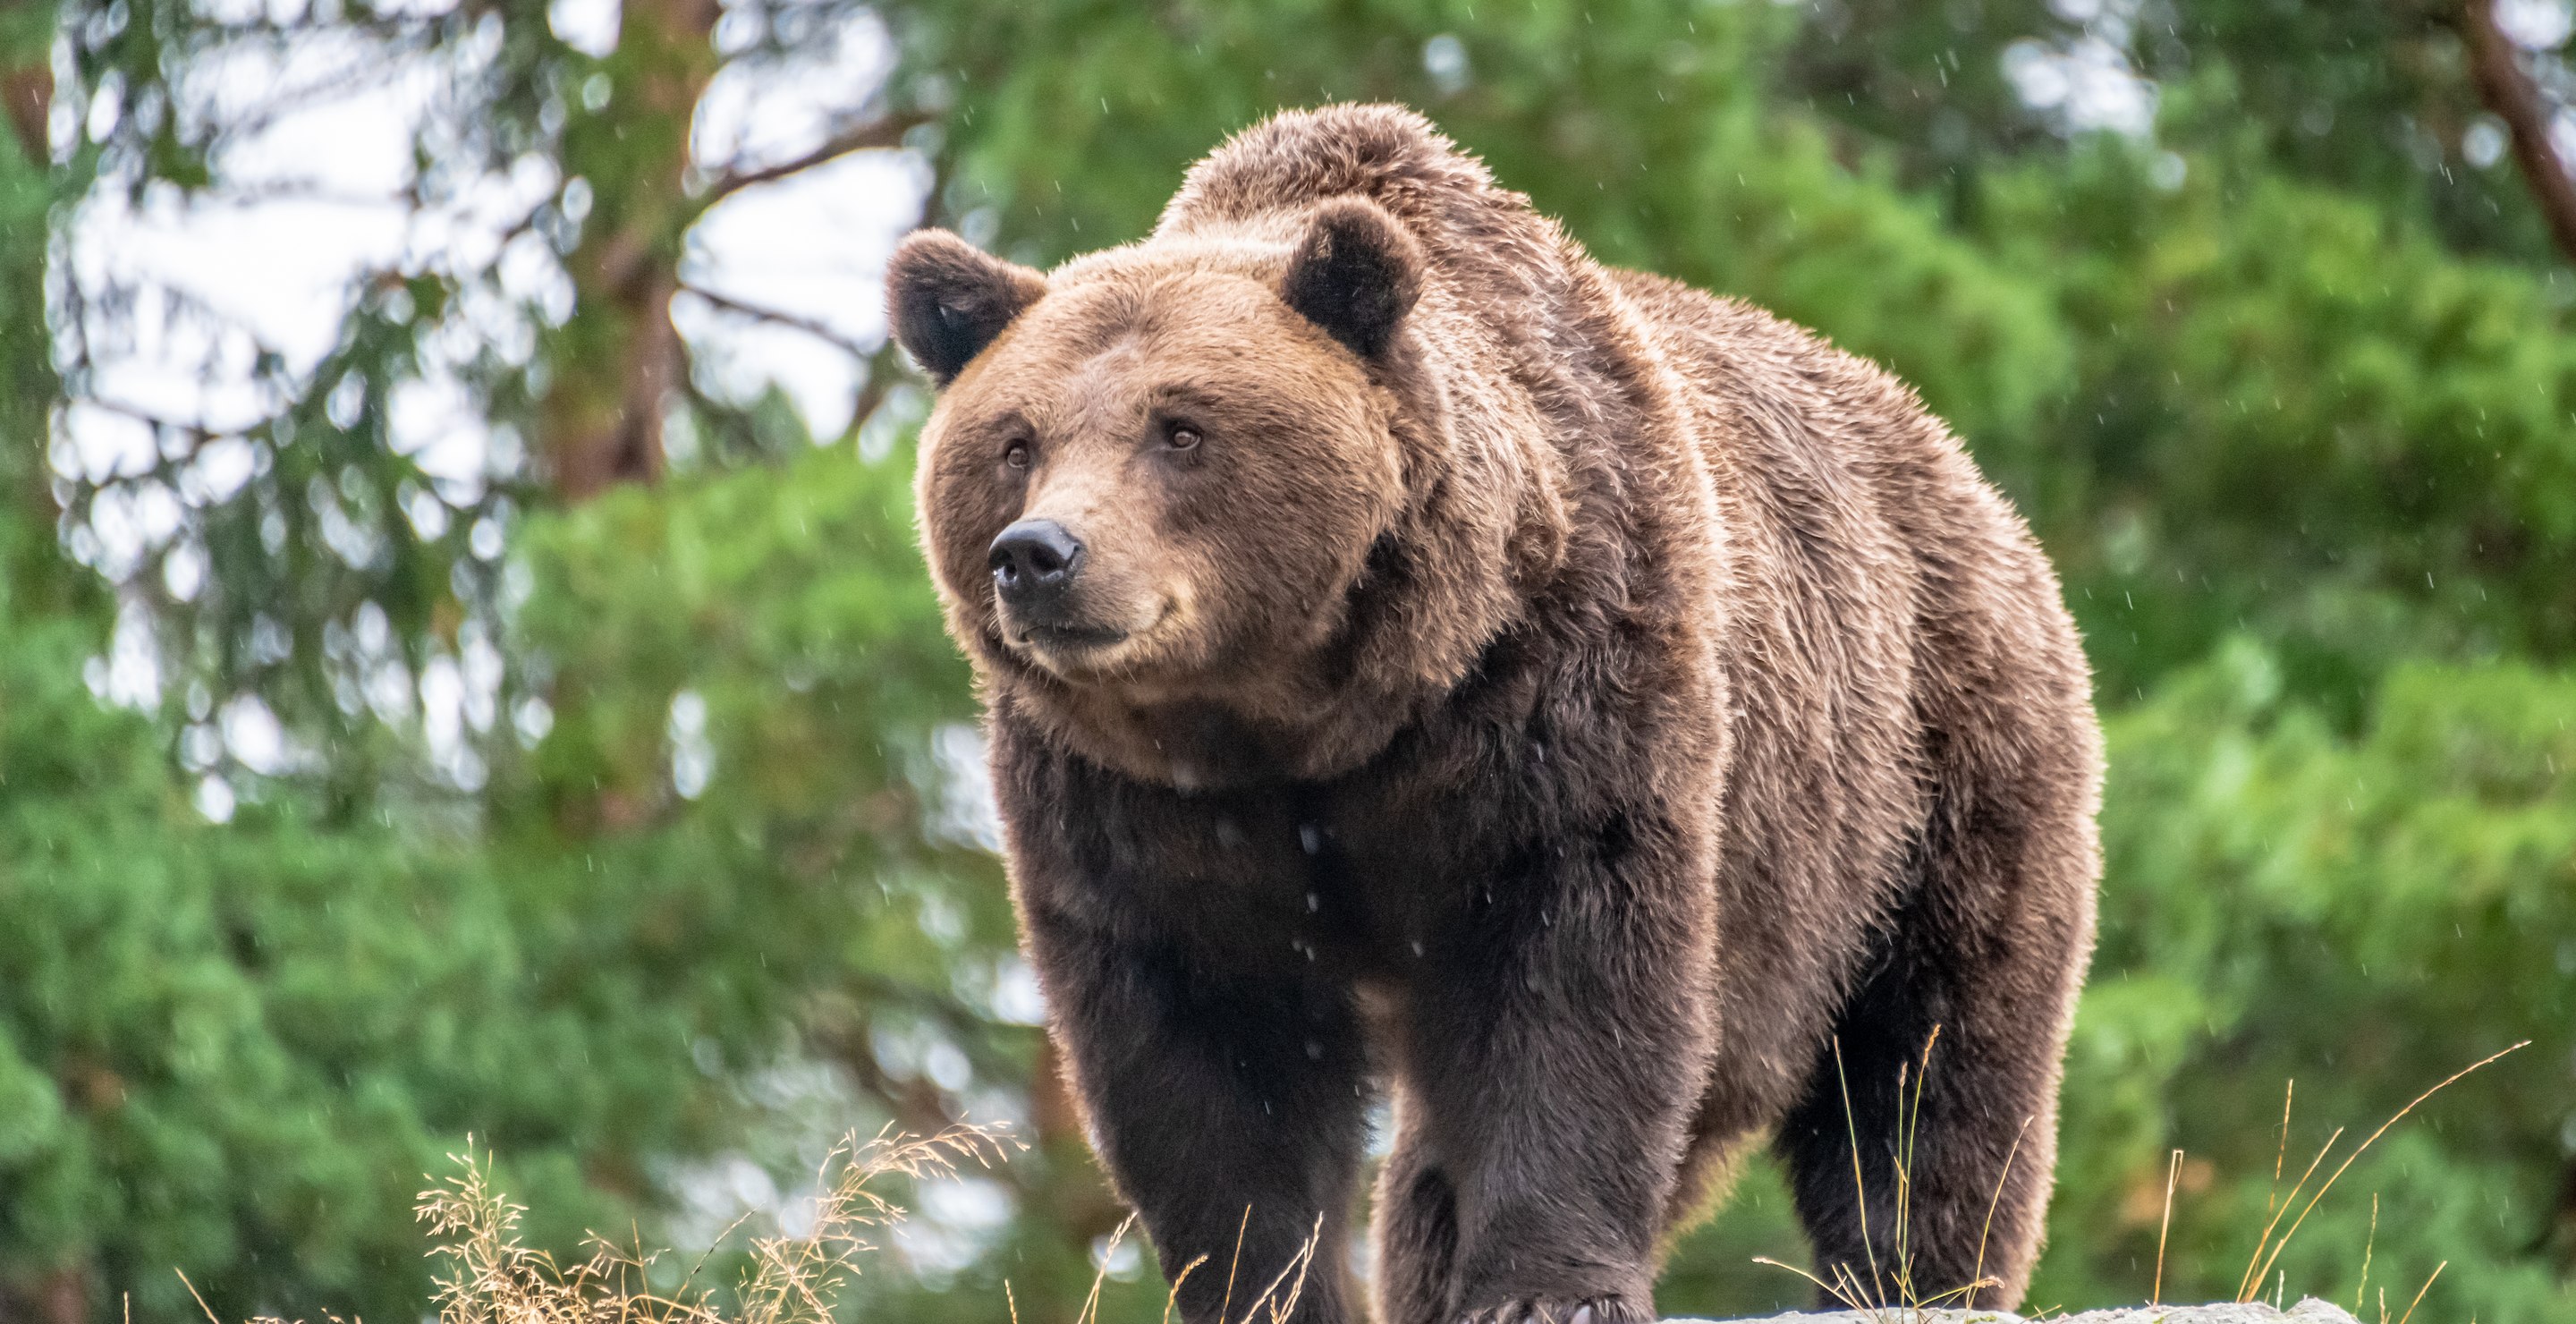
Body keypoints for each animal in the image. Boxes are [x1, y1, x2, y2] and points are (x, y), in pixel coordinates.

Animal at [885, 104, 2101, 1324]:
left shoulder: (1561, 694)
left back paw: (1915, 1272)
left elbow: (1575, 976)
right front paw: (1266, 1287)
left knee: (1932, 1057)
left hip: (1925, 779)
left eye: (1180, 428)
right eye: (1016, 440)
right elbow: (1207, 1045)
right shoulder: (1130, 802)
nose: (1039, 554)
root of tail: (1955, 460)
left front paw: (1548, 1286)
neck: (1307, 716)